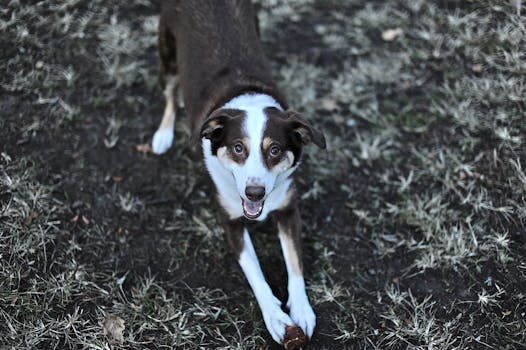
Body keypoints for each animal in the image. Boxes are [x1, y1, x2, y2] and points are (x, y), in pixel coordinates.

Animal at [151, 0, 328, 344]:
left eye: (275, 150)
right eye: (237, 148)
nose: (254, 192)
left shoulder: (289, 209)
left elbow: (295, 263)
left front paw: (301, 308)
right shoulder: (230, 220)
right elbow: (254, 271)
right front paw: (275, 317)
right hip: (167, 57)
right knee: (169, 96)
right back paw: (163, 134)